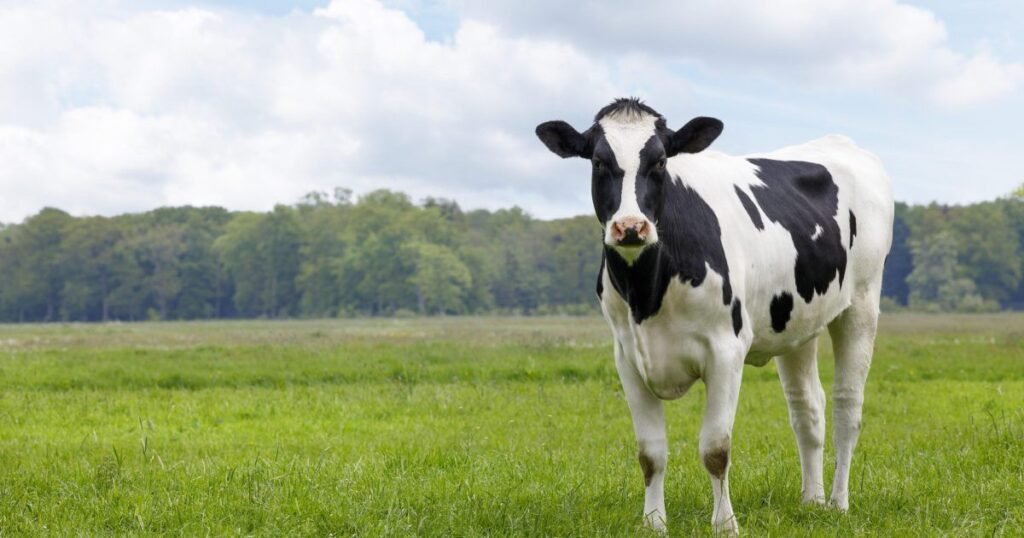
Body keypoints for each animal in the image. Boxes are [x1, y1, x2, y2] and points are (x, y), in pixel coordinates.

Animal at [535, 98, 893, 535]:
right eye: (599, 162)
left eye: (660, 161)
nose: (631, 227)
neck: (648, 293)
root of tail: (840, 142)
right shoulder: (628, 358)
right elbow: (650, 453)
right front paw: (654, 523)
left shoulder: (726, 350)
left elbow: (716, 448)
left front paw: (725, 524)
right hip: (797, 323)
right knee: (807, 407)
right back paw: (812, 501)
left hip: (862, 302)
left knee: (847, 405)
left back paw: (839, 503)